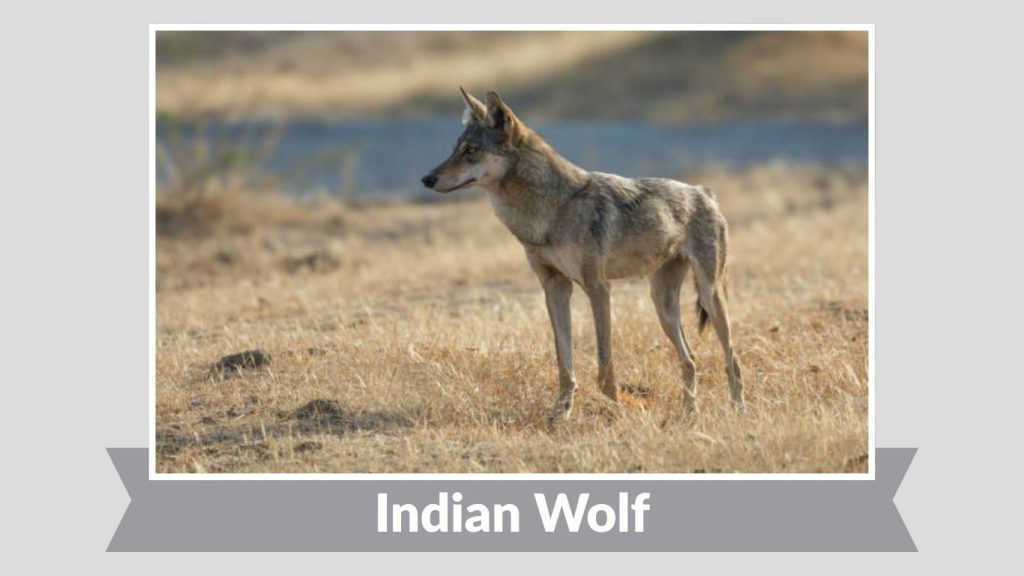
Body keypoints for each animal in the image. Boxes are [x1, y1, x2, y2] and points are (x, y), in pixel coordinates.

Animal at [422, 88, 745, 424]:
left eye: (471, 151)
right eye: (454, 150)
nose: (426, 179)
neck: (551, 211)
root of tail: (704, 191)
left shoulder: (598, 288)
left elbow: (605, 362)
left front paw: (614, 411)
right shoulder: (555, 287)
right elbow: (563, 361)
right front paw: (559, 413)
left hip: (709, 295)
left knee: (732, 358)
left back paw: (738, 410)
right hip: (662, 303)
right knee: (691, 358)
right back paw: (688, 414)